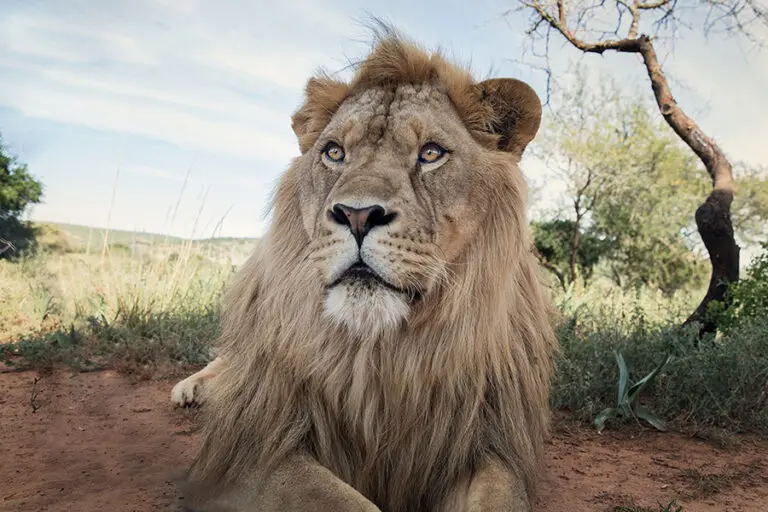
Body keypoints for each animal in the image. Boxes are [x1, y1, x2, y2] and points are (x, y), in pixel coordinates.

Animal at [175, 27, 557, 512]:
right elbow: (344, 502)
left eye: (431, 153)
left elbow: (503, 499)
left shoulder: (484, 445)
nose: (356, 215)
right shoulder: (249, 452)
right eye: (334, 152)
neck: (383, 353)